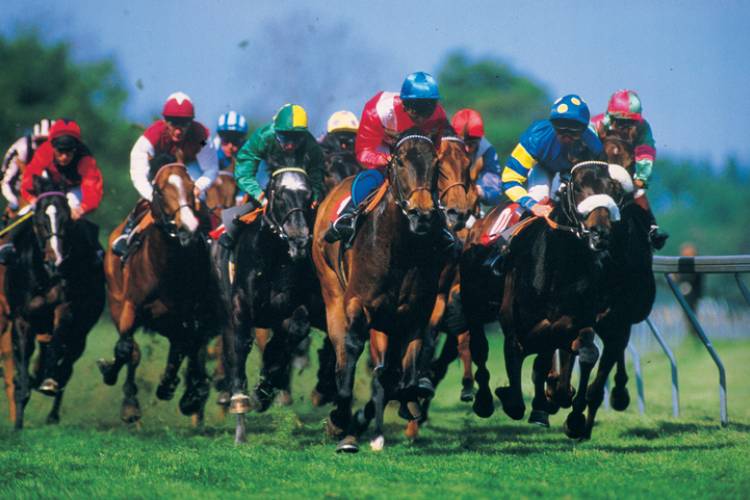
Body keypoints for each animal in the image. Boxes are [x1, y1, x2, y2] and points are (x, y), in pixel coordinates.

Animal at [5, 175, 105, 426]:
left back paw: (52, 412)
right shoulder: (21, 318)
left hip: (82, 332)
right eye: (40, 217)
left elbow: (58, 345)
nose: (55, 258)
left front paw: (48, 382)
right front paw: (17, 424)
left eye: (66, 218)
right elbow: (22, 371)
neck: (46, 275)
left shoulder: (65, 310)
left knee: (66, 366)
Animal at [98, 162, 225, 424]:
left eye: (191, 186)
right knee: (134, 351)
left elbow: (185, 349)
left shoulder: (189, 316)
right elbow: (125, 349)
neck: (166, 266)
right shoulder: (131, 307)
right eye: (159, 190)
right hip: (117, 301)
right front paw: (122, 393)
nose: (188, 227)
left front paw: (182, 391)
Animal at [217, 165, 324, 442]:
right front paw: (241, 409)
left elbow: (287, 340)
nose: (299, 241)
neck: (275, 256)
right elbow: (241, 346)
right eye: (280, 195)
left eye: (308, 195)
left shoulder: (291, 309)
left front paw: (263, 392)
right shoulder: (241, 305)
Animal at [314, 131, 450, 452]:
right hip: (332, 292)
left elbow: (400, 376)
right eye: (399, 162)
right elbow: (353, 351)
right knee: (341, 349)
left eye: (436, 163)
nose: (422, 215)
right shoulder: (358, 304)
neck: (401, 247)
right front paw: (340, 421)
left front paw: (405, 402)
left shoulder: (415, 313)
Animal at [462, 160, 624, 434]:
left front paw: (567, 407)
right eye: (577, 187)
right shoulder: (512, 319)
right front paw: (512, 397)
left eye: (613, 188)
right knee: (480, 349)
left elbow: (578, 350)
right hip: (474, 306)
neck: (558, 262)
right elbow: (518, 352)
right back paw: (485, 400)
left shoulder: (579, 316)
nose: (600, 232)